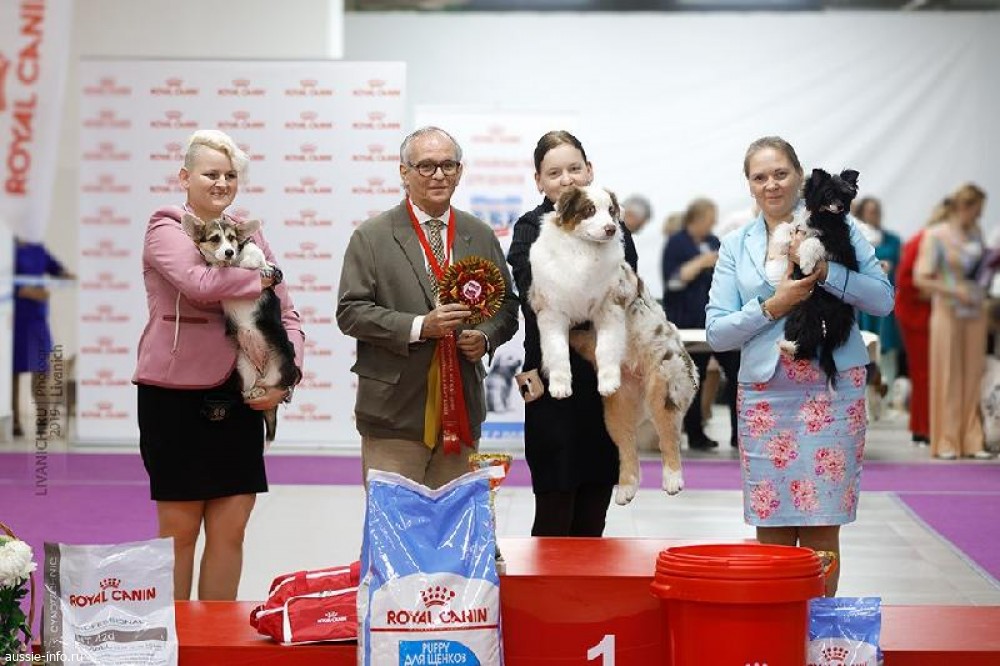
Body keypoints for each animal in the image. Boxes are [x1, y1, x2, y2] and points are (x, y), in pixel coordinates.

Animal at [181, 213, 298, 442]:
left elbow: (254, 253)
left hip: (282, 362)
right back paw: (253, 392)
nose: (229, 252)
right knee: (251, 389)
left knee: (275, 385)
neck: (231, 263)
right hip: (245, 368)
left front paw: (253, 262)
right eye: (215, 239)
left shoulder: (250, 251)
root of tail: (263, 369)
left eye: (232, 238)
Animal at [529, 185, 698, 504]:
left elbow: (606, 347)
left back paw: (672, 480)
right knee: (628, 449)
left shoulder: (611, 305)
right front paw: (559, 386)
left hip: (664, 388)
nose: (610, 228)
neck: (581, 251)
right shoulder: (552, 310)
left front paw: (607, 380)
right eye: (589, 210)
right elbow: (557, 351)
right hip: (615, 414)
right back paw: (626, 489)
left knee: (669, 439)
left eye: (611, 211)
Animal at [770, 168, 860, 385]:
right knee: (808, 339)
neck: (823, 217)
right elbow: (786, 226)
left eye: (845, 194)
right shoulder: (798, 227)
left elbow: (814, 242)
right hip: (802, 313)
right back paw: (789, 346)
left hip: (837, 316)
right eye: (828, 194)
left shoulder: (834, 244)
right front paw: (780, 245)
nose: (840, 205)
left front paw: (806, 263)